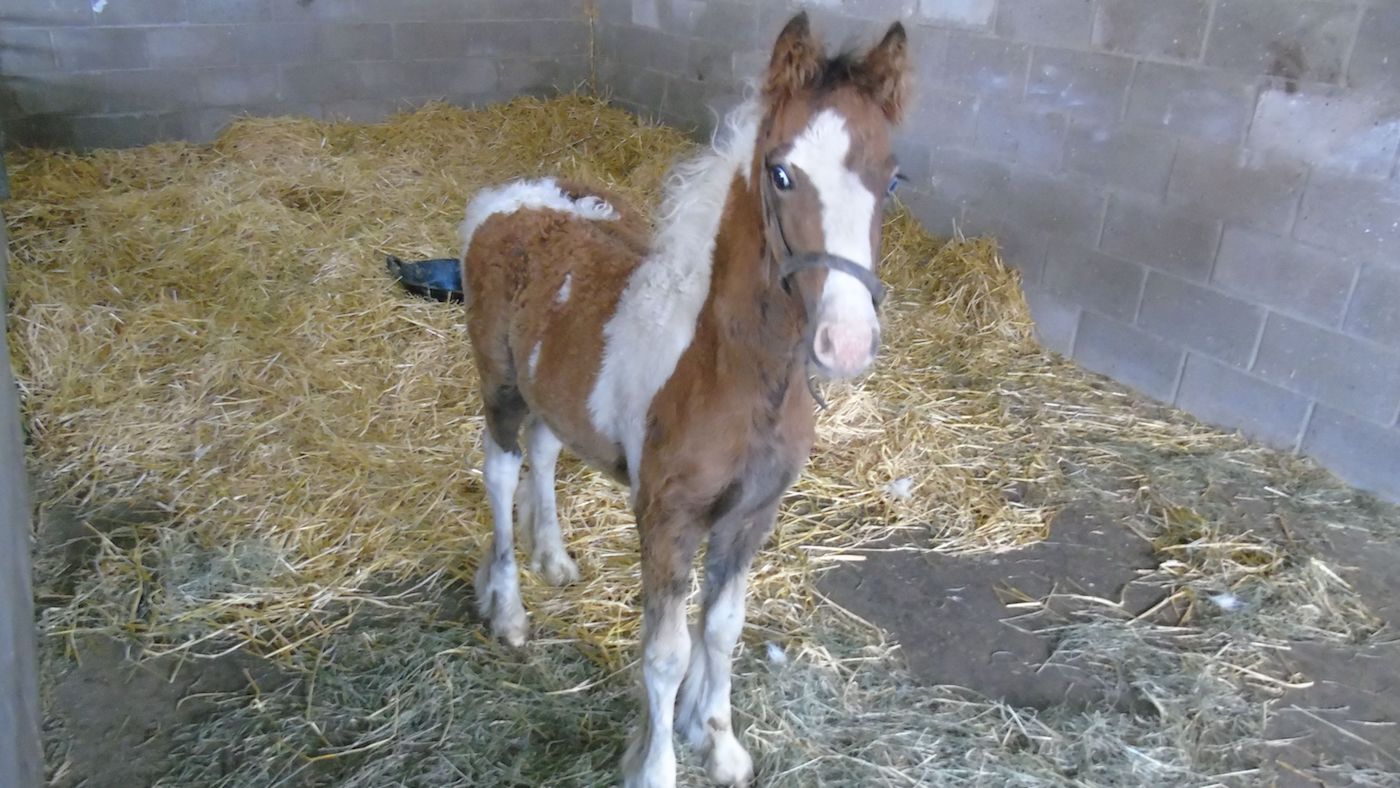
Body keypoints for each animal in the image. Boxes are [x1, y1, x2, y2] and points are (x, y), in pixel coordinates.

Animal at [458, 13, 910, 787]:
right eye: (781, 172)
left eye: (891, 176)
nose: (846, 342)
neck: (729, 372)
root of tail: (508, 196)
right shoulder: (667, 518)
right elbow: (665, 653)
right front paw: (657, 765)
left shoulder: (751, 516)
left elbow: (723, 629)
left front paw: (719, 741)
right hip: (501, 384)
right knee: (500, 471)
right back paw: (509, 609)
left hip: (555, 392)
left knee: (545, 452)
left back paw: (554, 558)